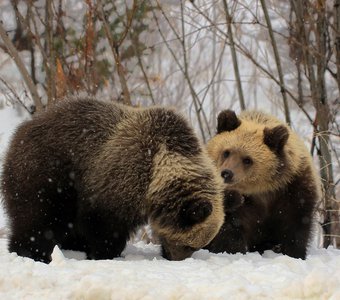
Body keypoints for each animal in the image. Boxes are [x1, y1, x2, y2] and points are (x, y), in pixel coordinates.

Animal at [1, 98, 224, 262]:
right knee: (39, 218)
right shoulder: (118, 180)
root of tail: (18, 133)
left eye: (196, 246)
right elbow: (103, 225)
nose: (174, 258)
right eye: (188, 245)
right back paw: (32, 252)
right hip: (46, 173)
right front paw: (104, 252)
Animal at [205, 109, 322, 258]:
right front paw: (233, 250)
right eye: (226, 152)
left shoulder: (293, 188)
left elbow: (296, 222)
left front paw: (294, 252)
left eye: (247, 159)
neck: (262, 189)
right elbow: (230, 227)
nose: (226, 173)